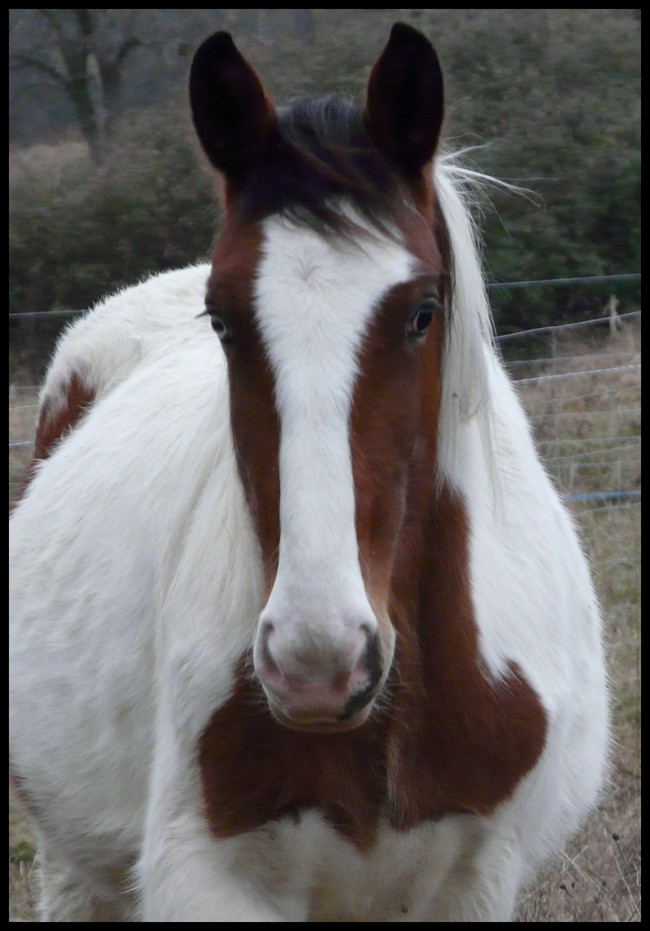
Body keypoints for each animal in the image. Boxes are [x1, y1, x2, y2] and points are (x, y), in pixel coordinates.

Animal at [10, 23, 608, 924]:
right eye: (222, 318)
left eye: (422, 312)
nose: (316, 664)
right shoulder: (209, 879)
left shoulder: (476, 880)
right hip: (78, 862)